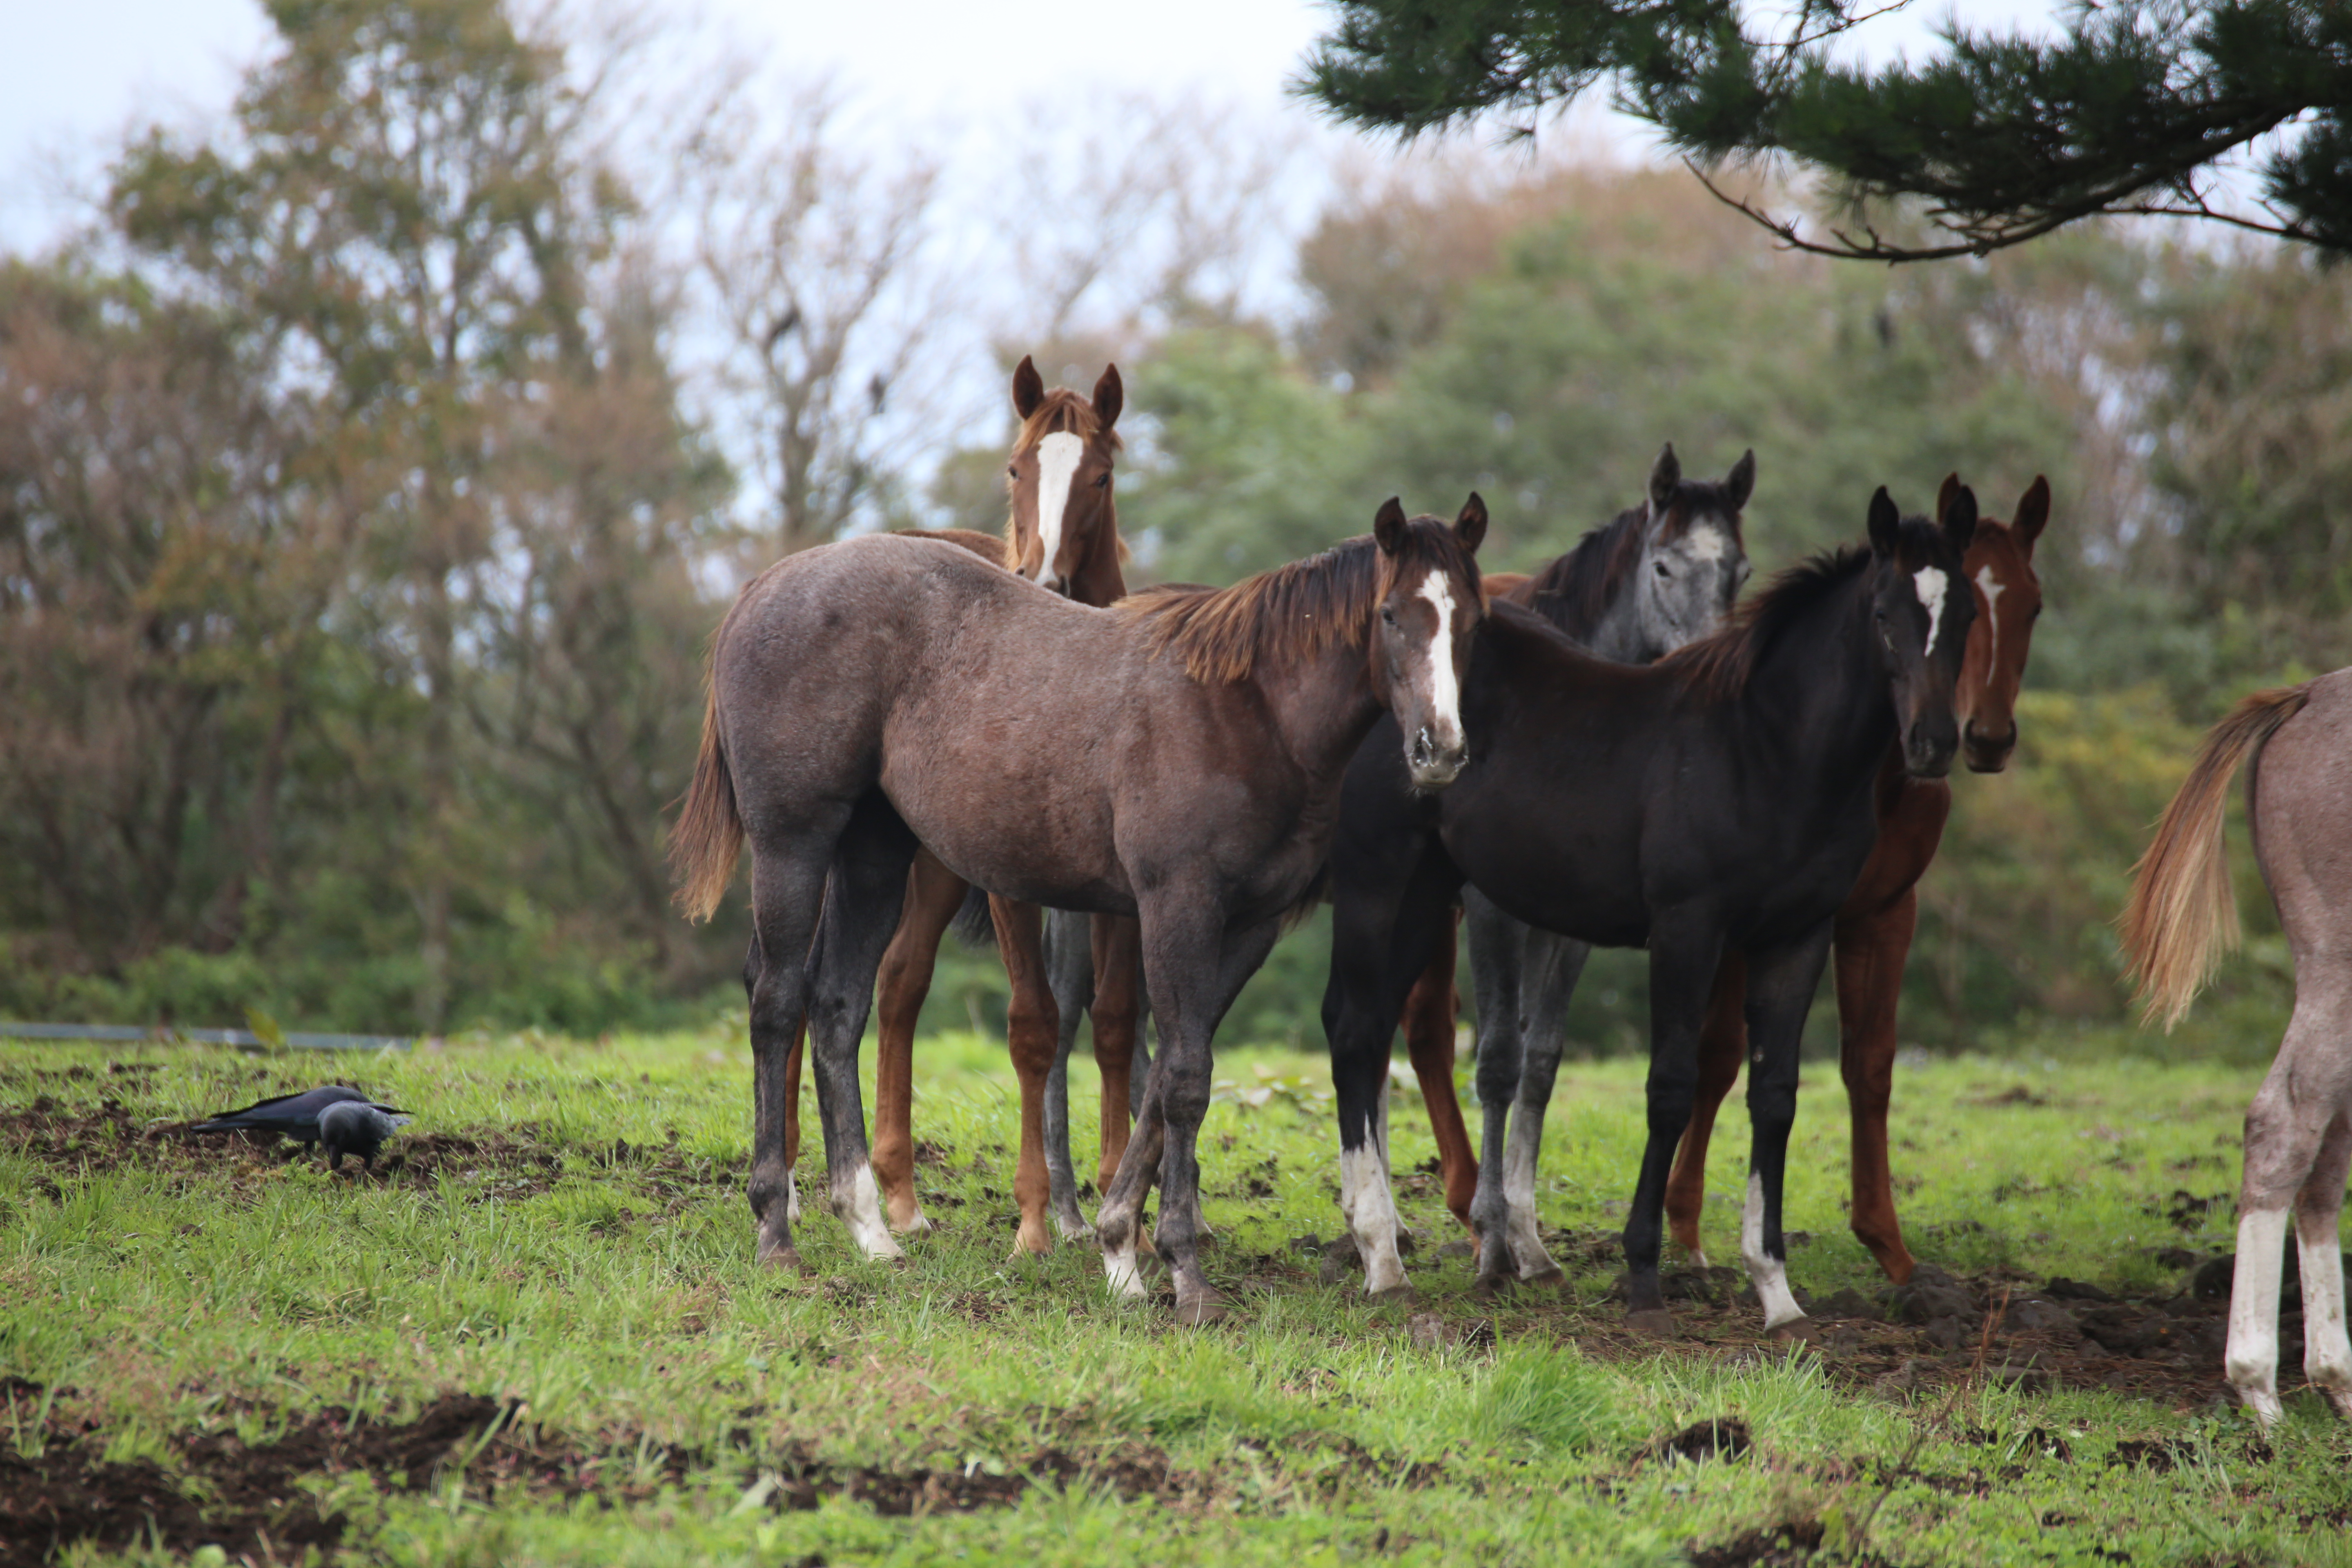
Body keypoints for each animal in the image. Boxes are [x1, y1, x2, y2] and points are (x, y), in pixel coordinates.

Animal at [677, 493, 1486, 1326]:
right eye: (1390, 614)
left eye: (1473, 619)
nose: (1440, 750)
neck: (1247, 712)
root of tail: (765, 587)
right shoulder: (1176, 907)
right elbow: (1185, 1079)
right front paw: (1182, 1273)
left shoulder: (1247, 927)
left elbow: (1165, 1077)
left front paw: (1121, 1247)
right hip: (794, 844)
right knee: (779, 1004)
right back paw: (777, 1232)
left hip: (874, 853)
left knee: (838, 1007)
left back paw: (871, 1230)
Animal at [776, 352, 1143, 1250]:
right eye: (1015, 469)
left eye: (1101, 475)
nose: (1043, 578)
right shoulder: (1013, 887)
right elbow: (1035, 1025)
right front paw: (1036, 1222)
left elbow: (1113, 1023)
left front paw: (1119, 1206)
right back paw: (801, 1190)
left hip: (933, 871)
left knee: (900, 982)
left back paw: (901, 1198)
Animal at [1317, 484, 1976, 1335]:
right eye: (1885, 614)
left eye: (1966, 614)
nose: (1932, 743)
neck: (1766, 750)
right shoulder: (1687, 929)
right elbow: (1669, 1087)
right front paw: (1641, 1272)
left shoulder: (1797, 937)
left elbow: (1776, 1097)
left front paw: (1775, 1288)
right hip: (1380, 880)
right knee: (1355, 1027)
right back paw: (1382, 1255)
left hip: (1427, 897)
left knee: (1369, 1029)